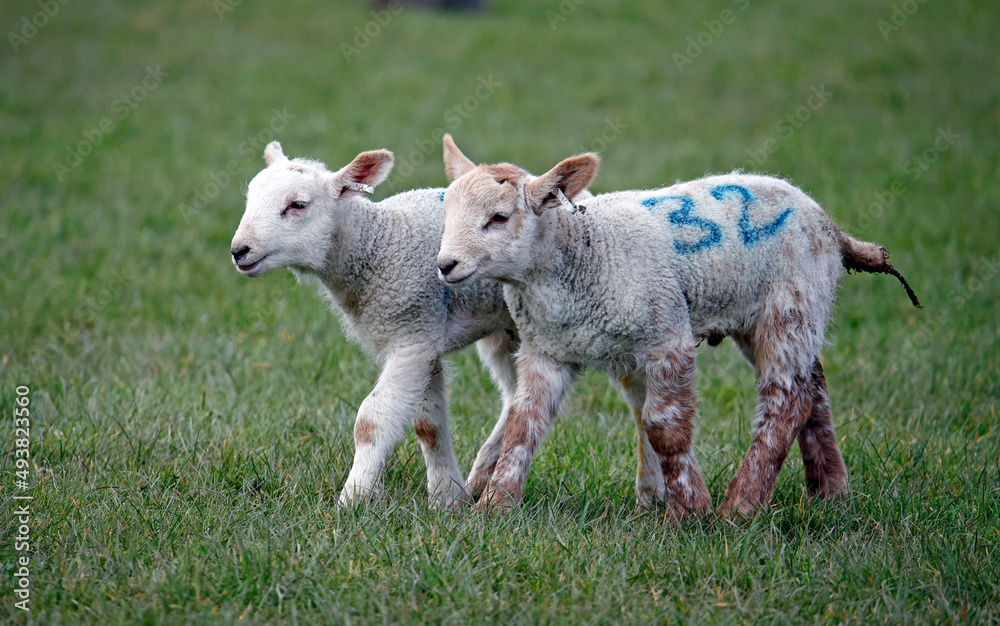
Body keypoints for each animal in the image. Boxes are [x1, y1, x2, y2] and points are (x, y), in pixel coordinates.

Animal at [436, 134, 920, 518]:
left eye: (499, 217)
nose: (445, 265)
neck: (583, 251)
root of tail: (829, 224)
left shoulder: (667, 338)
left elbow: (663, 428)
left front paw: (688, 511)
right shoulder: (547, 349)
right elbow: (524, 423)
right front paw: (495, 506)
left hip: (790, 304)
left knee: (786, 400)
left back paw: (740, 506)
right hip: (767, 316)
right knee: (813, 386)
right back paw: (830, 493)